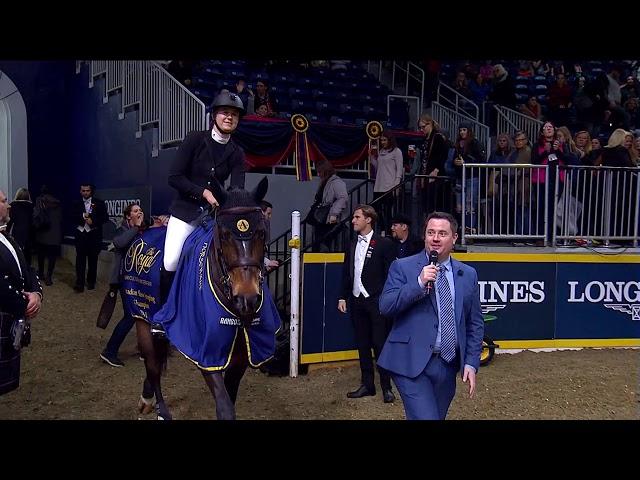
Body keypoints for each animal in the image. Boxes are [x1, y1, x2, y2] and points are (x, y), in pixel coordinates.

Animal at [131, 177, 278, 420]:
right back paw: (161, 410)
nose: (247, 299)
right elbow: (225, 407)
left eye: (261, 232)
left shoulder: (241, 357)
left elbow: (230, 397)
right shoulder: (207, 353)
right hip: (142, 320)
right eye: (224, 234)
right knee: (153, 367)